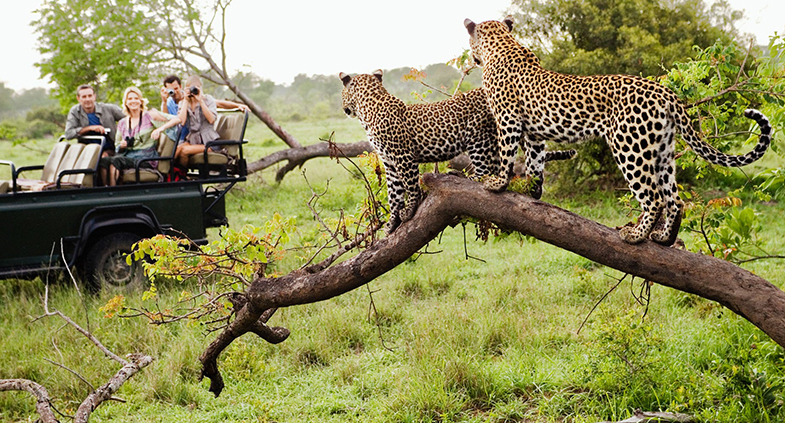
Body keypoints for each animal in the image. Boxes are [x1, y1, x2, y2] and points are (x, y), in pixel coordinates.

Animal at [338, 71, 576, 234]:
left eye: (342, 92)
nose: (343, 109)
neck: (368, 109)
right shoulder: (389, 162)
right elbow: (394, 194)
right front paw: (391, 223)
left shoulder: (403, 157)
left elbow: (410, 186)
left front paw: (410, 210)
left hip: (479, 139)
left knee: (485, 172)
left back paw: (463, 176)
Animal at [462, 16, 768, 247]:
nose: (472, 57)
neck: (502, 45)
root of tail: (666, 93)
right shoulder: (535, 134)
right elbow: (535, 162)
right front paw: (532, 191)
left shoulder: (507, 119)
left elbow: (506, 154)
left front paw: (497, 183)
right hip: (662, 152)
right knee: (674, 199)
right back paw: (664, 239)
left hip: (629, 147)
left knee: (654, 198)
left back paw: (636, 236)